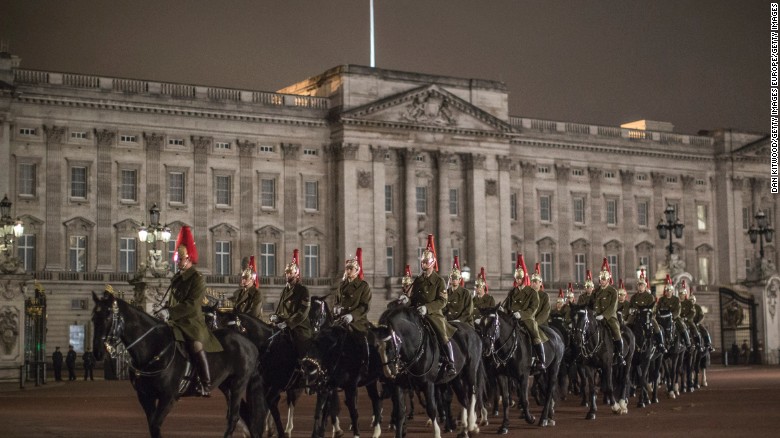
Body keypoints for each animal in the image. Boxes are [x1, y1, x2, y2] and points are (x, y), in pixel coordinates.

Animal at [90, 290, 264, 438]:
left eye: (108, 316)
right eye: (93, 318)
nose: (97, 352)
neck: (153, 348)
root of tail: (249, 343)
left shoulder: (169, 397)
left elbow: (155, 426)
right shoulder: (145, 396)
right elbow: (152, 427)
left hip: (238, 384)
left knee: (234, 417)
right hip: (226, 385)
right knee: (243, 416)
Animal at [372, 304, 482, 438]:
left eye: (390, 346)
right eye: (376, 347)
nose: (388, 373)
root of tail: (472, 331)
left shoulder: (428, 384)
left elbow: (431, 409)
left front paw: (437, 433)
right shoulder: (399, 385)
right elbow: (400, 412)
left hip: (470, 371)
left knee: (472, 393)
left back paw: (472, 425)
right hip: (455, 378)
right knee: (463, 399)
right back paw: (464, 430)